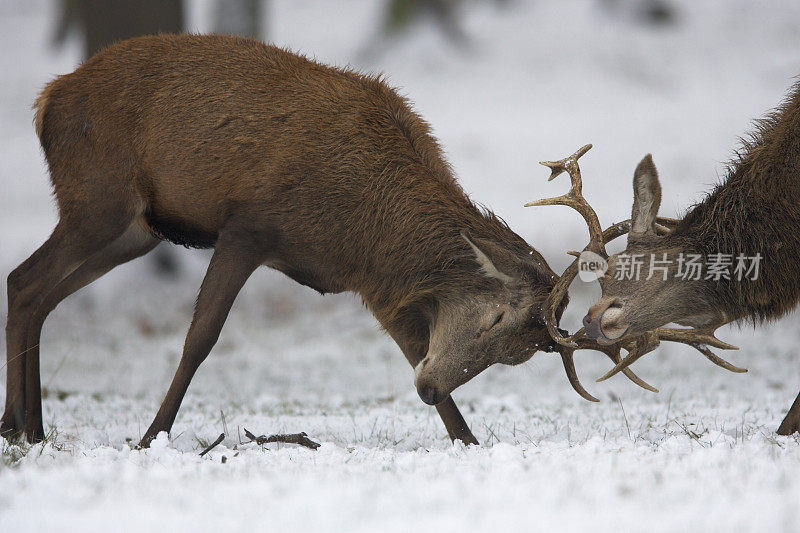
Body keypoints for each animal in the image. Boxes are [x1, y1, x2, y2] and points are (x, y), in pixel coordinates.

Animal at [1, 33, 592, 446]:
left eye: (513, 356)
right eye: (495, 317)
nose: (429, 390)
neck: (364, 231)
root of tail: (47, 100)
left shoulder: (371, 284)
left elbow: (413, 349)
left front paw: (466, 441)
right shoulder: (248, 226)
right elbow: (200, 338)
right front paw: (152, 437)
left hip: (133, 231)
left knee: (37, 292)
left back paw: (27, 427)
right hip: (98, 202)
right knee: (24, 279)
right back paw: (22, 424)